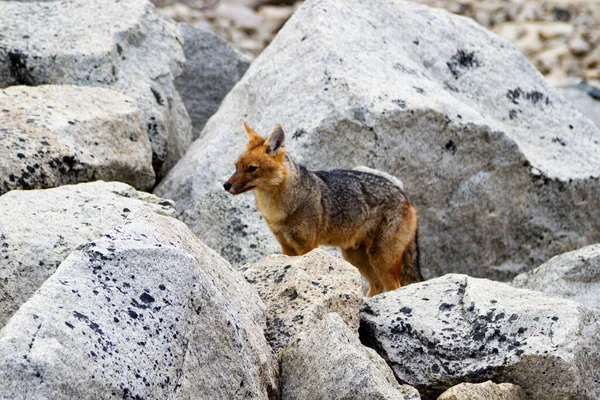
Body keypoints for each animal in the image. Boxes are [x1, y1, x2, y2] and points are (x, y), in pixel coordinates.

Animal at [223, 122, 424, 296]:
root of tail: (407, 198)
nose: (226, 185)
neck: (278, 211)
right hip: (354, 257)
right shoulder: (286, 246)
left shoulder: (307, 245)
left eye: (252, 168)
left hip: (380, 258)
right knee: (376, 285)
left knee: (394, 287)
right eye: (236, 166)